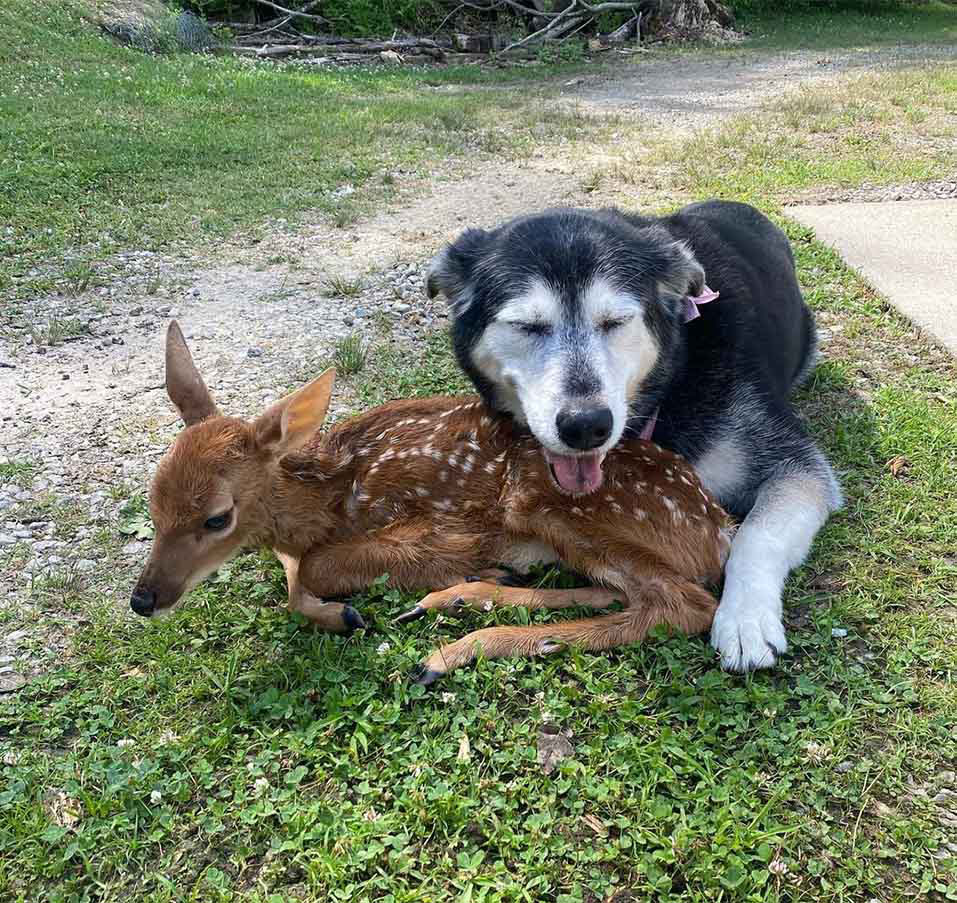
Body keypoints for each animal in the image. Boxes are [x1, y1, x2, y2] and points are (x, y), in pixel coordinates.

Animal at [430, 201, 840, 676]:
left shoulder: (795, 465)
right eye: (527, 326)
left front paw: (745, 619)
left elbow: (757, 535)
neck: (671, 380)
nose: (585, 425)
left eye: (616, 322)